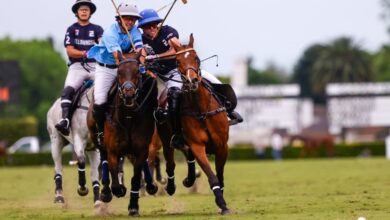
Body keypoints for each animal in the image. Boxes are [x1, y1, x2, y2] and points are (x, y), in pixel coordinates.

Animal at [86, 52, 158, 217]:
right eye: (119, 72)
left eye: (138, 72)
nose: (129, 94)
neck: (128, 117)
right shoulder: (113, 150)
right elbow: (113, 175)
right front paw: (116, 190)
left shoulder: (140, 150)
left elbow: (136, 178)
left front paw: (133, 207)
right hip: (97, 138)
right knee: (104, 159)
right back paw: (106, 192)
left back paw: (151, 185)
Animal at [158, 33, 232, 214]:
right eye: (177, 61)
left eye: (196, 58)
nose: (192, 81)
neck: (201, 110)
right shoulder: (198, 146)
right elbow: (212, 177)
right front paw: (222, 204)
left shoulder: (222, 146)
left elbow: (220, 176)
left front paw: (222, 205)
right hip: (165, 139)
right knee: (170, 163)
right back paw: (171, 186)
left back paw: (189, 179)